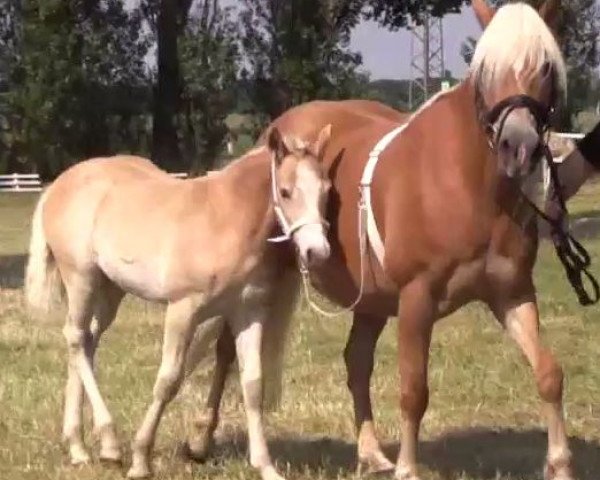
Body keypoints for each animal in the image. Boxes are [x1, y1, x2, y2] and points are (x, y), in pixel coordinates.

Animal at [24, 124, 328, 480]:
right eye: (286, 191)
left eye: (326, 190)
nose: (317, 252)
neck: (227, 219)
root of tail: (58, 185)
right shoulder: (184, 309)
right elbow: (168, 381)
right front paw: (141, 459)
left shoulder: (248, 312)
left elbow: (253, 385)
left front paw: (266, 467)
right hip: (80, 278)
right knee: (74, 337)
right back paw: (108, 444)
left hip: (111, 288)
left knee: (87, 340)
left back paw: (80, 446)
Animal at [190, 1, 576, 478]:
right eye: (486, 69)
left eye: (545, 65)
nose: (517, 147)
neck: (464, 182)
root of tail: (273, 135)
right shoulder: (417, 299)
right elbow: (414, 389)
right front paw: (409, 469)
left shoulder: (512, 293)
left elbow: (549, 373)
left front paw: (560, 464)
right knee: (227, 351)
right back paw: (201, 439)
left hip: (370, 298)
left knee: (356, 362)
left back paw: (371, 452)